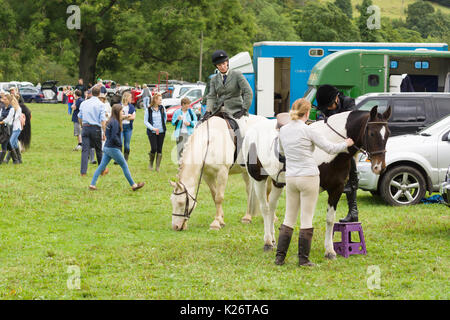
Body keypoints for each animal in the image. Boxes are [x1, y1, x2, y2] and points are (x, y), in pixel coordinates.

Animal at [243, 106, 390, 258]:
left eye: (388, 134)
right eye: (372, 133)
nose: (379, 167)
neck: (330, 145)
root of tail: (252, 130)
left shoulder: (336, 189)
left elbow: (330, 219)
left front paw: (330, 250)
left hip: (277, 182)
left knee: (272, 206)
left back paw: (272, 240)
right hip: (258, 180)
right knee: (265, 208)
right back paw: (267, 242)